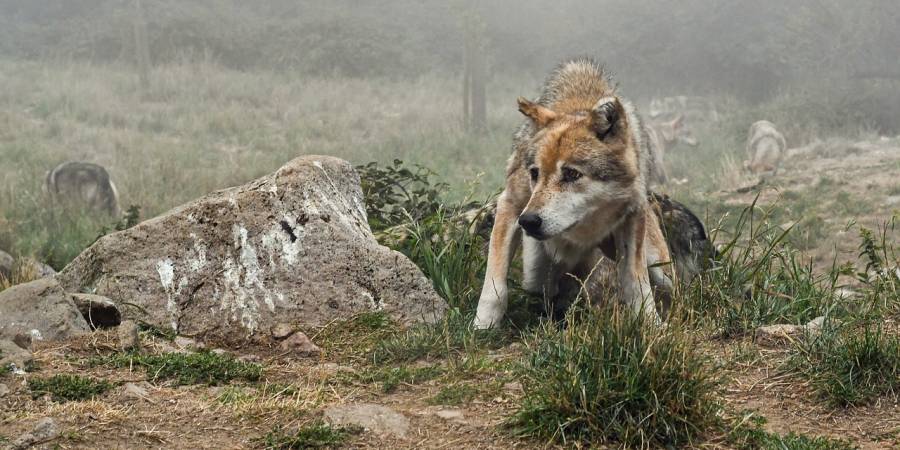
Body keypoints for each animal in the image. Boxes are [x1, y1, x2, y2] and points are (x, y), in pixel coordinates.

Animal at [472, 58, 676, 328]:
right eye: (534, 173)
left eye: (571, 174)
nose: (528, 221)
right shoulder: (511, 204)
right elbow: (495, 285)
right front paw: (482, 326)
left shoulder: (633, 215)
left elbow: (637, 282)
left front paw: (652, 326)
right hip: (536, 269)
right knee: (544, 288)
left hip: (660, 266)